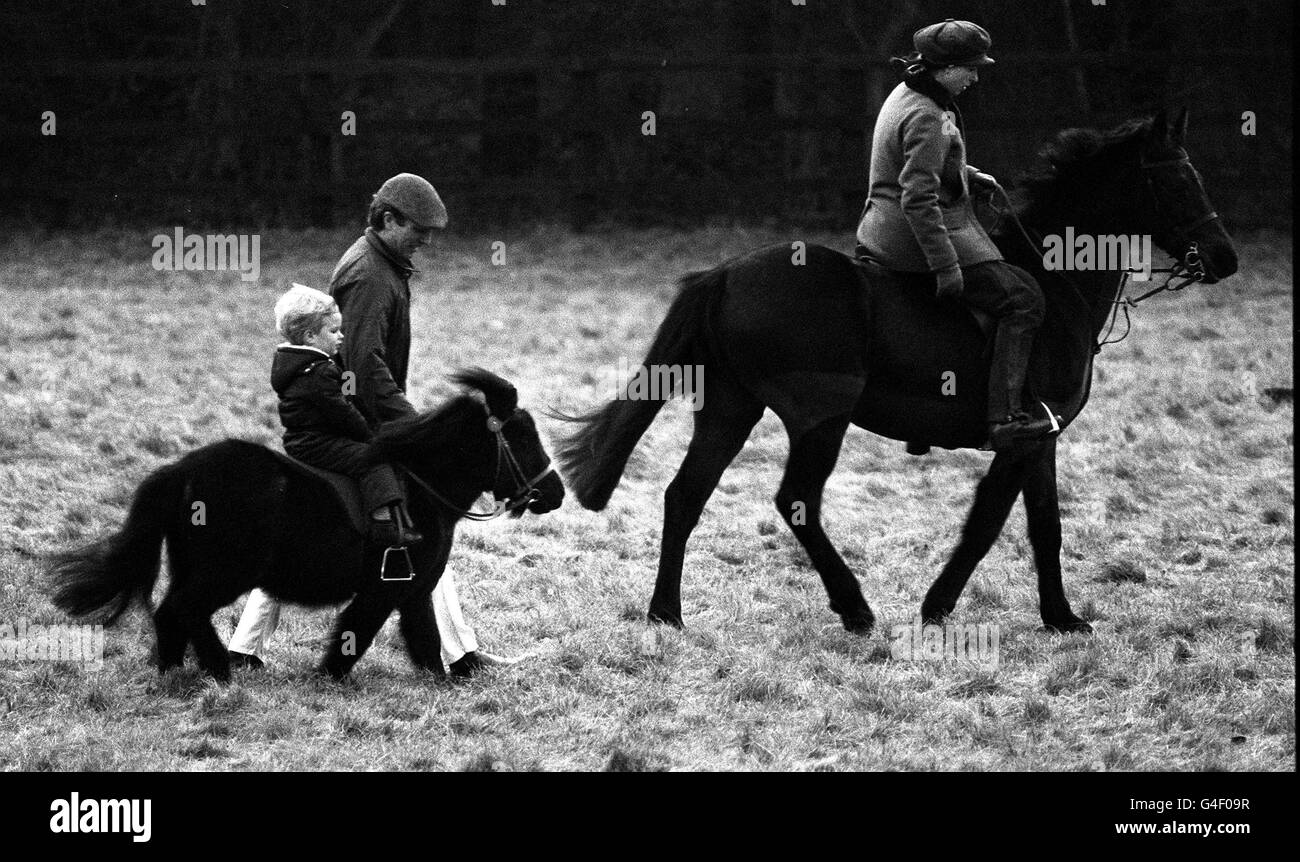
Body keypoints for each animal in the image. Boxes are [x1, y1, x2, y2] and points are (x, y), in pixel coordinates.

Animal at [48, 371, 566, 681]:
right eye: (521, 436)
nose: (556, 492)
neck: (423, 486)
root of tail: (180, 471)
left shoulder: (414, 591)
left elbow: (424, 642)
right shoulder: (383, 591)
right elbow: (354, 637)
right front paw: (327, 680)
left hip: (193, 568)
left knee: (167, 615)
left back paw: (175, 673)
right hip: (223, 573)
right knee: (183, 610)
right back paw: (220, 674)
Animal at [559, 105, 1237, 634]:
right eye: (1176, 179)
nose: (1226, 258)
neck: (1053, 282)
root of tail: (725, 273)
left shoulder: (1042, 437)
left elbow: (1044, 525)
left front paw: (1061, 618)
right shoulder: (1022, 438)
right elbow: (988, 522)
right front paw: (939, 607)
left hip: (730, 410)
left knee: (686, 495)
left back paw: (666, 613)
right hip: (820, 419)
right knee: (795, 500)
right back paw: (854, 608)